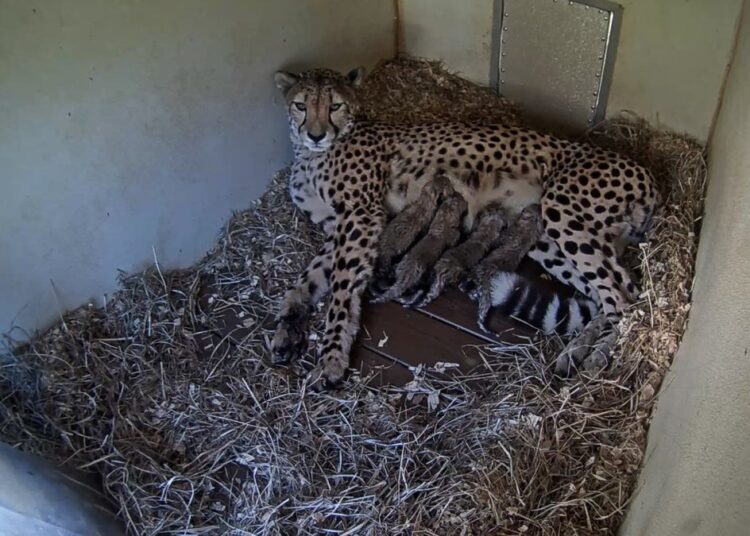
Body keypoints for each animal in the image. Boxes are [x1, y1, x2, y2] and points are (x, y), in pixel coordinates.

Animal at [270, 66, 660, 385]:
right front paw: (288, 326)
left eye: (335, 105)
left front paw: (332, 358)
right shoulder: (338, 226)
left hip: (563, 214)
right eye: (301, 105)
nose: (316, 134)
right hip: (548, 238)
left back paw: (593, 356)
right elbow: (307, 280)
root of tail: (646, 173)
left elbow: (341, 288)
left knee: (625, 295)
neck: (311, 155)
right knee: (607, 296)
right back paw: (577, 351)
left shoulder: (360, 215)